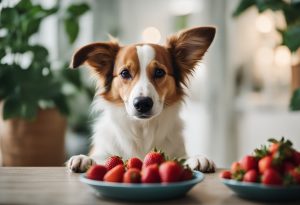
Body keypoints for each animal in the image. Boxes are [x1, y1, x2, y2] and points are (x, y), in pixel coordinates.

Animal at [67, 26, 216, 172]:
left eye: (159, 72)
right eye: (124, 73)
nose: (143, 103)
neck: (142, 130)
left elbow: (183, 158)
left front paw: (198, 158)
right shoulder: (103, 152)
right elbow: (100, 158)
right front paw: (84, 158)